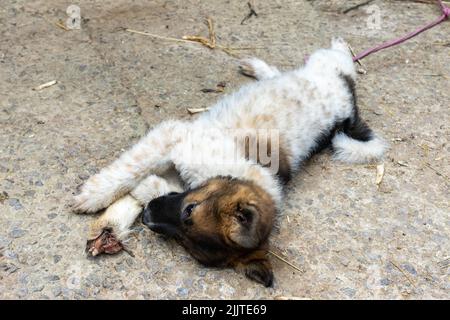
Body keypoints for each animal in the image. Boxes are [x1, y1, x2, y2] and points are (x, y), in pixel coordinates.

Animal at [73, 38, 386, 286]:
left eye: (184, 241)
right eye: (189, 210)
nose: (149, 219)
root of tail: (349, 111)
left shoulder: (176, 169)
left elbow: (141, 188)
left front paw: (113, 222)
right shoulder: (173, 137)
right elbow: (129, 170)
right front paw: (94, 198)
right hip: (327, 63)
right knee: (337, 58)